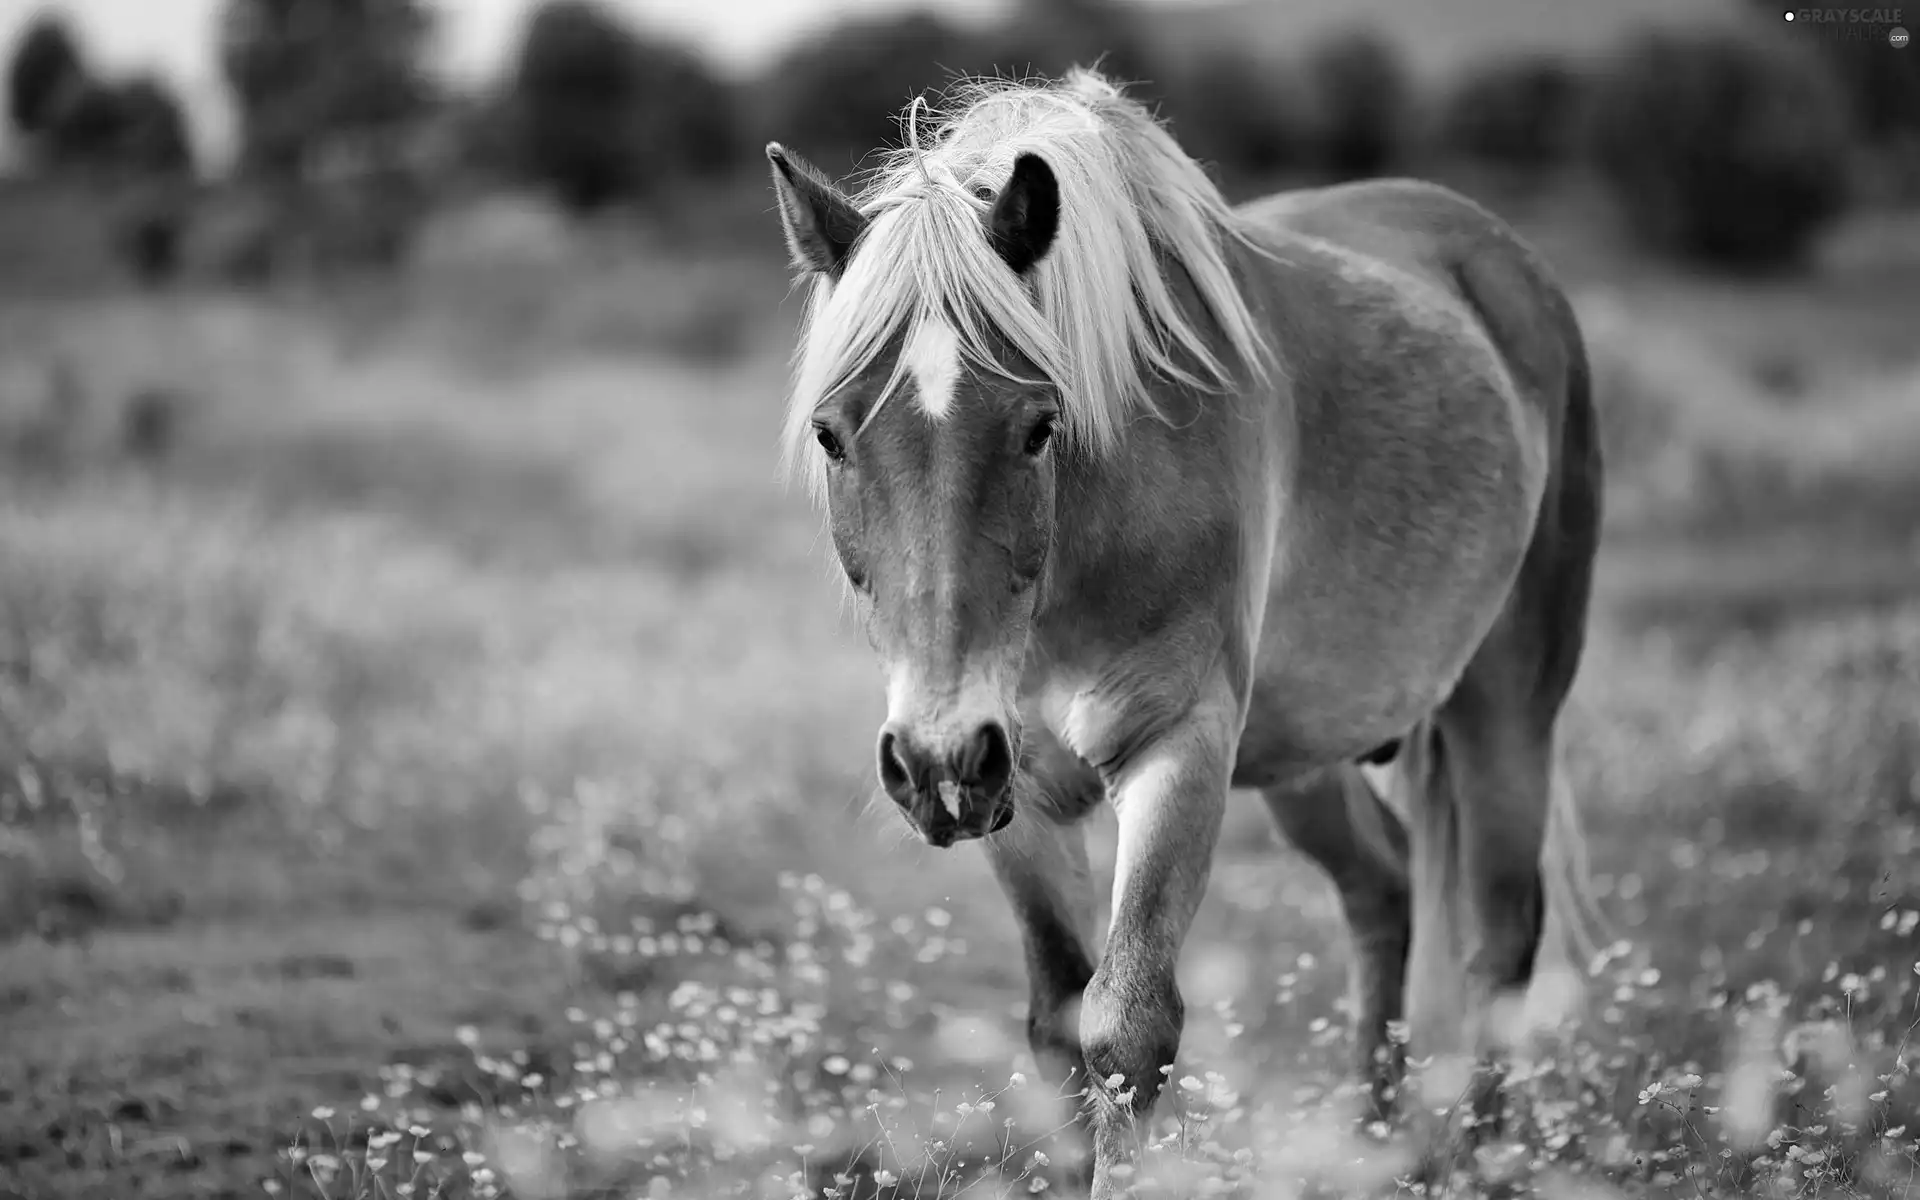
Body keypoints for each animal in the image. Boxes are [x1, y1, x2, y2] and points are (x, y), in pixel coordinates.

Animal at [764, 70, 1605, 1190]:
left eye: (1039, 426)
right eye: (830, 432)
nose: (936, 760)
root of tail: (1505, 263)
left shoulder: (1180, 746)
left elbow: (1128, 1028)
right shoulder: (1017, 791)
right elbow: (1057, 1024)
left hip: (1506, 707)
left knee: (1501, 941)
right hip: (1306, 754)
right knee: (1382, 889)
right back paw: (1371, 1144)